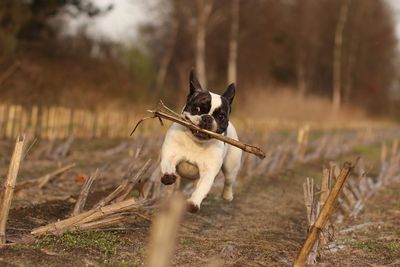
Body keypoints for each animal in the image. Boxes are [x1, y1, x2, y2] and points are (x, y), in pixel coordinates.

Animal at [159, 71, 241, 214]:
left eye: (221, 116)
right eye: (196, 109)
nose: (207, 118)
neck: (195, 141)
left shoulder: (208, 172)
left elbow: (201, 189)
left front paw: (193, 203)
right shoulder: (170, 155)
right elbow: (167, 165)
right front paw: (168, 176)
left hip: (231, 165)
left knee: (228, 181)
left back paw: (227, 196)